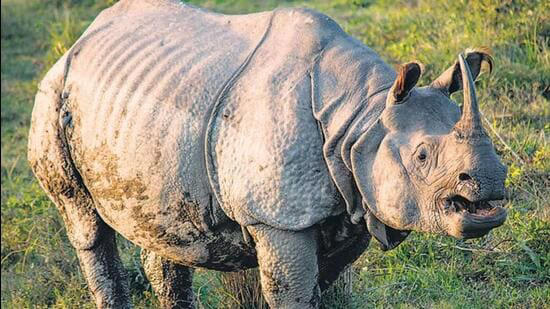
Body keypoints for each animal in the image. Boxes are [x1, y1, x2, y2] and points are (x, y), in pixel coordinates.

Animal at [25, 1, 508, 306]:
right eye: (422, 156)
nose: (492, 182)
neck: (361, 120)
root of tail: (84, 36)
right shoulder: (276, 217)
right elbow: (291, 292)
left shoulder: (353, 199)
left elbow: (321, 286)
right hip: (52, 96)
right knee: (85, 223)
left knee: (162, 230)